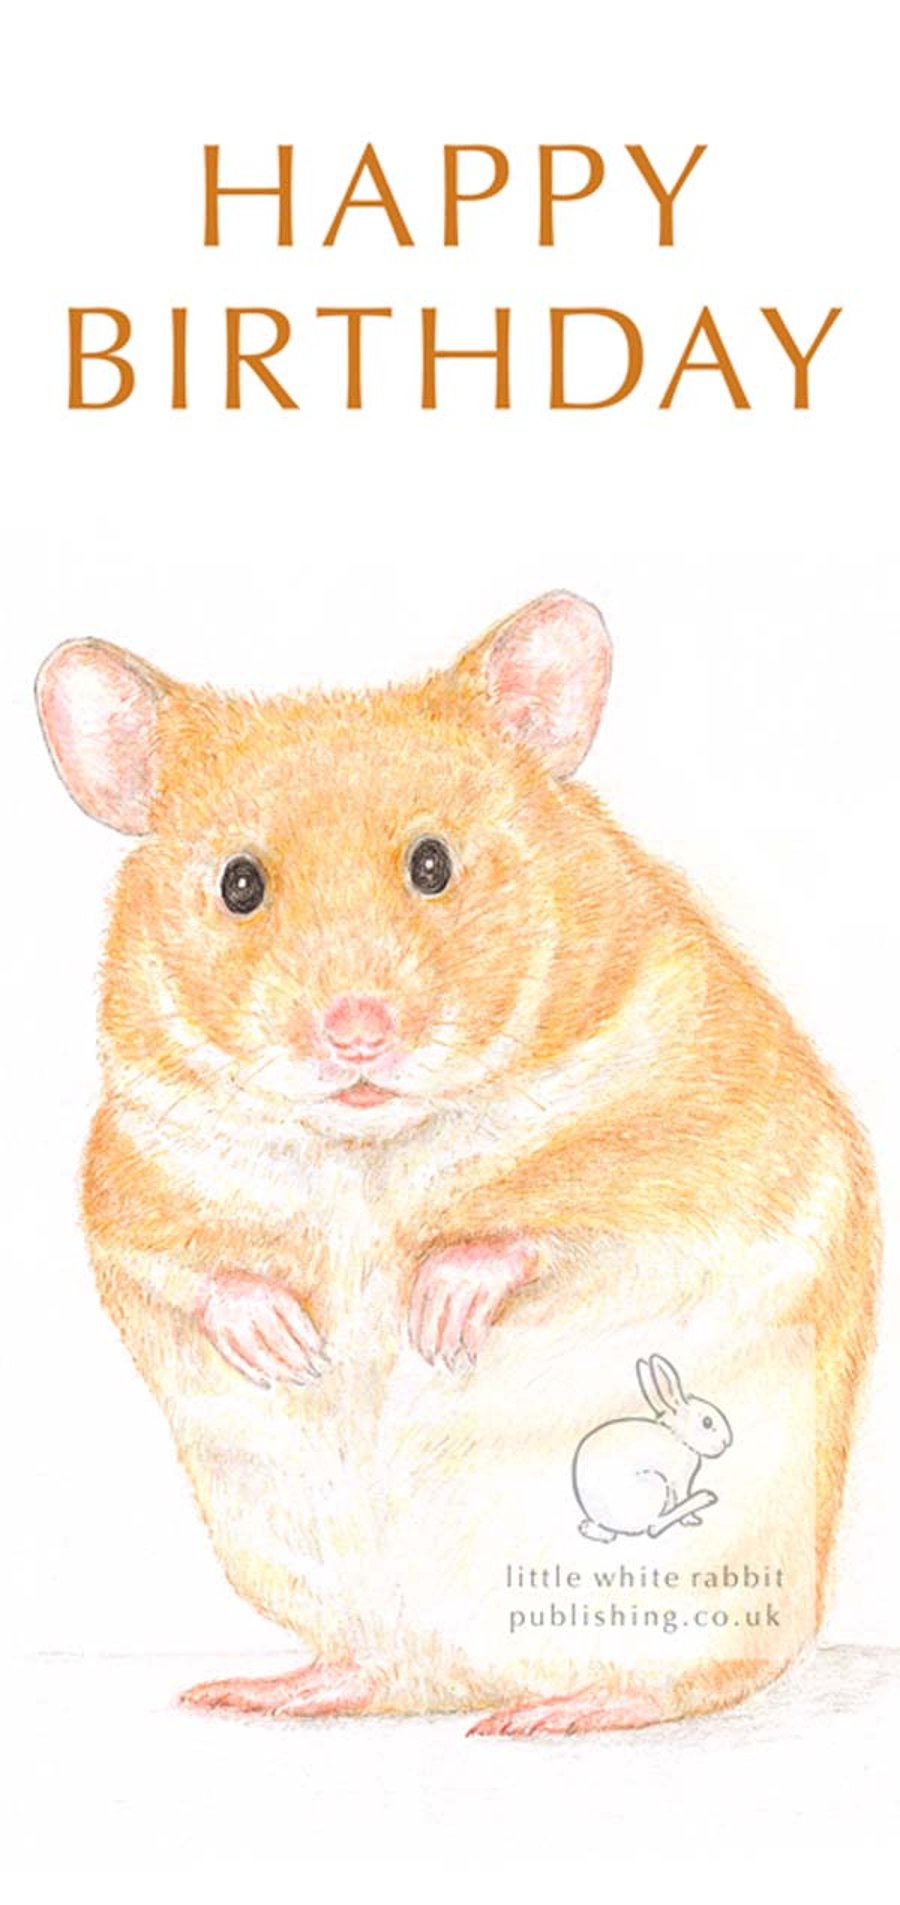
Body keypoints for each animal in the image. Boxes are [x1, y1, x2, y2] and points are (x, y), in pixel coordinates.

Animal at [36, 590, 879, 1735]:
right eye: (238, 884)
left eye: (432, 864)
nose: (355, 1032)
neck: (366, 1149)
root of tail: (484, 1673)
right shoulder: (130, 1179)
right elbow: (195, 1267)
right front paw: (290, 1345)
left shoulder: (709, 1145)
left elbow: (557, 1225)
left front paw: (430, 1316)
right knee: (390, 1671)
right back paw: (258, 1691)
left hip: (705, 1582)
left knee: (701, 1674)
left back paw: (559, 1713)